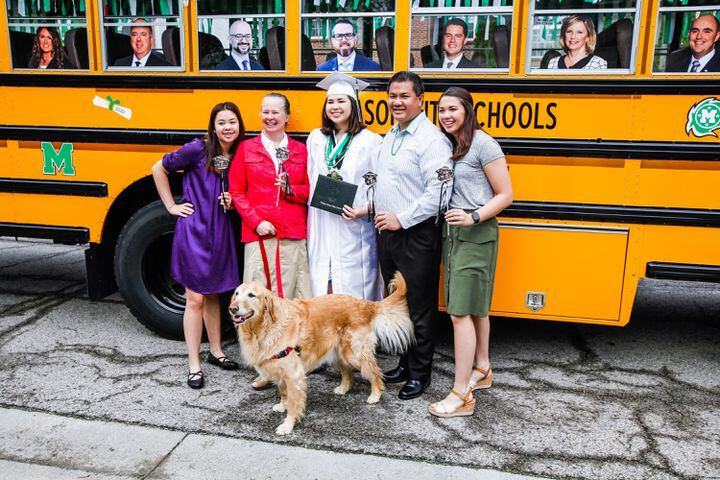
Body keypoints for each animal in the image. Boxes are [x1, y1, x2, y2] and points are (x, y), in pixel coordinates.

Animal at [228, 274, 414, 436]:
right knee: (348, 374)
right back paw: (343, 388)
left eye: (251, 295)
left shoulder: (293, 374)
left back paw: (375, 395)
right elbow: (283, 392)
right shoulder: (279, 369)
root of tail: (365, 304)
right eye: (236, 293)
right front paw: (282, 405)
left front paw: (287, 425)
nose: (232, 309)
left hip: (353, 353)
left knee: (375, 372)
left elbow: (294, 403)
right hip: (338, 353)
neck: (265, 327)